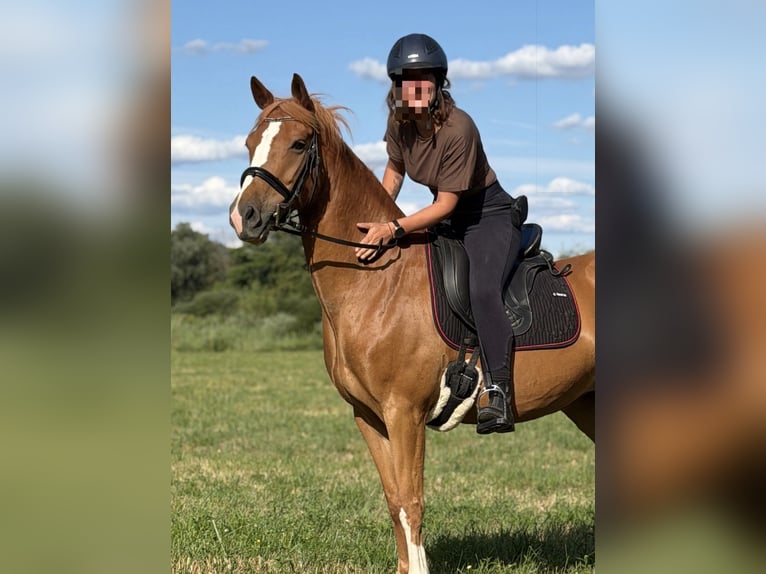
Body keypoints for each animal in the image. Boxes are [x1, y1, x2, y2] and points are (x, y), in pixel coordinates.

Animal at [229, 73, 595, 574]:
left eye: (299, 143)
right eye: (250, 143)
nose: (243, 216)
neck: (378, 282)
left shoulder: (405, 413)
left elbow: (412, 501)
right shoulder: (369, 417)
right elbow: (393, 500)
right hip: (586, 401)